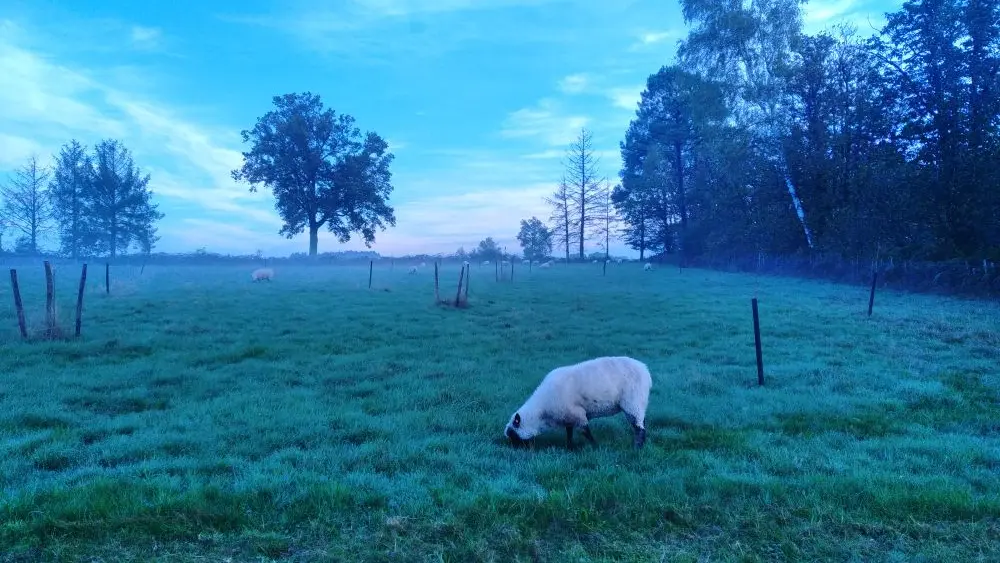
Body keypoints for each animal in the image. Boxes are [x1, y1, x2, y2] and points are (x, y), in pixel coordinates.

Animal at [504, 356, 652, 450]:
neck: (541, 412)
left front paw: (595, 445)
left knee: (639, 428)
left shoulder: (577, 414)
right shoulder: (567, 417)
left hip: (633, 401)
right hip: (638, 403)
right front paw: (569, 446)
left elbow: (586, 432)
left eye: (512, 434)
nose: (513, 451)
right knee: (641, 422)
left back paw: (637, 447)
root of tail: (645, 370)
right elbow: (569, 432)